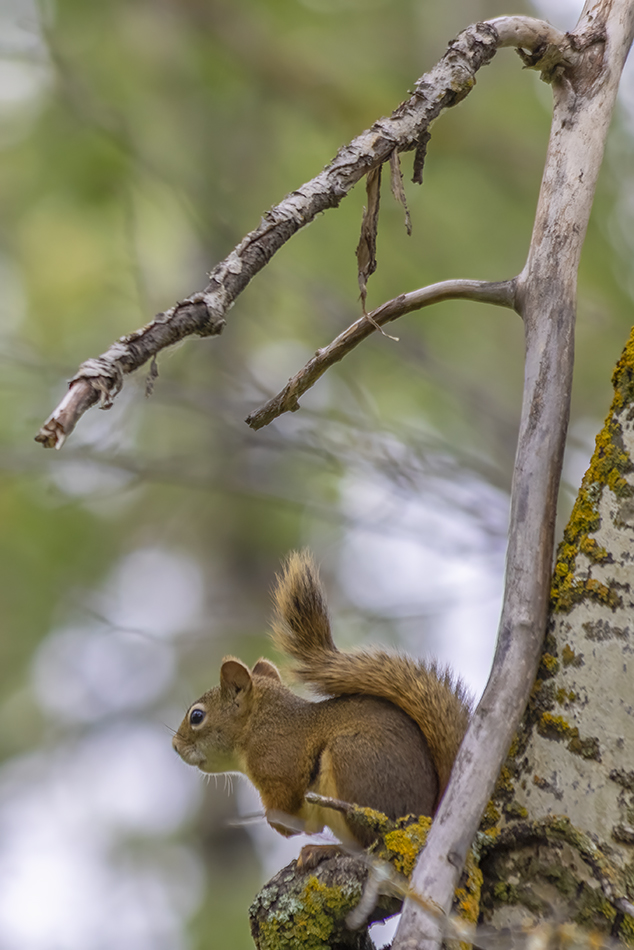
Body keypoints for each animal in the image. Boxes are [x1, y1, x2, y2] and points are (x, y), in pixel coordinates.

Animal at [172, 550, 471, 858]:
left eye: (197, 716)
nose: (175, 746)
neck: (258, 725)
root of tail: (426, 815)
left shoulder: (279, 762)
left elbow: (285, 801)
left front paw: (283, 825)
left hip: (354, 765)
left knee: (369, 845)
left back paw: (326, 849)